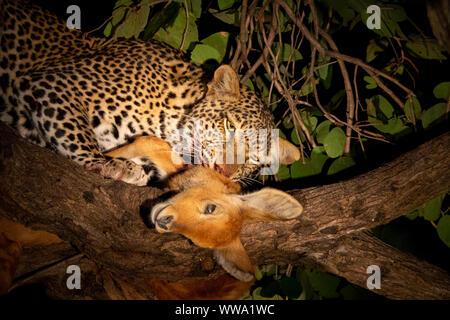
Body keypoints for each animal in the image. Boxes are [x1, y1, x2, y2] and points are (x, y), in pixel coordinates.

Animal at [2, 0, 302, 185]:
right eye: (229, 126)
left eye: (256, 159)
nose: (223, 172)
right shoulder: (53, 82)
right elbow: (75, 132)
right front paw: (103, 162)